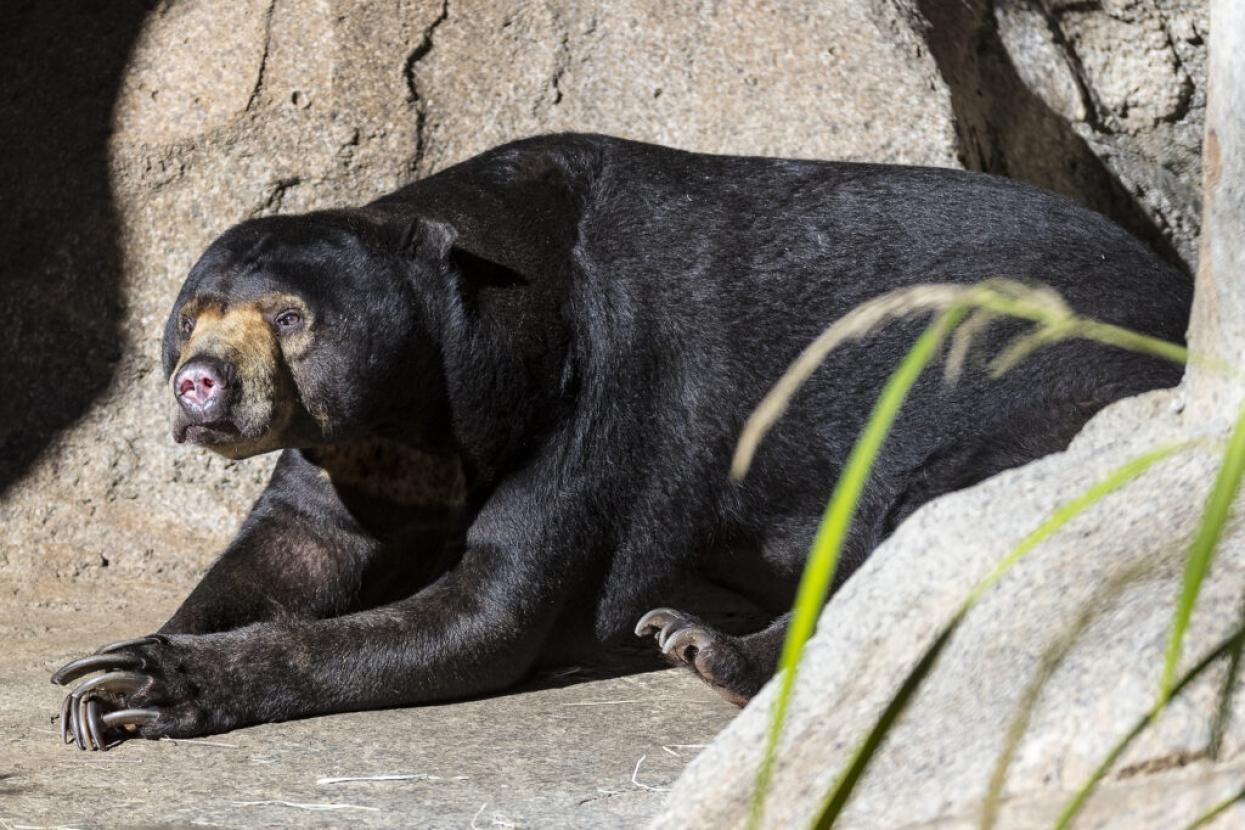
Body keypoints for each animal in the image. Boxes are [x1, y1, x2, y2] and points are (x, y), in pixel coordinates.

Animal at [52, 133, 1190, 749]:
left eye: (290, 320)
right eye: (191, 314)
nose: (203, 383)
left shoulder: (601, 402)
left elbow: (491, 611)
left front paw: (163, 683)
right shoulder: (353, 456)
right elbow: (295, 544)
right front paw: (111, 675)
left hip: (1047, 383)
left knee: (926, 522)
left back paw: (707, 645)